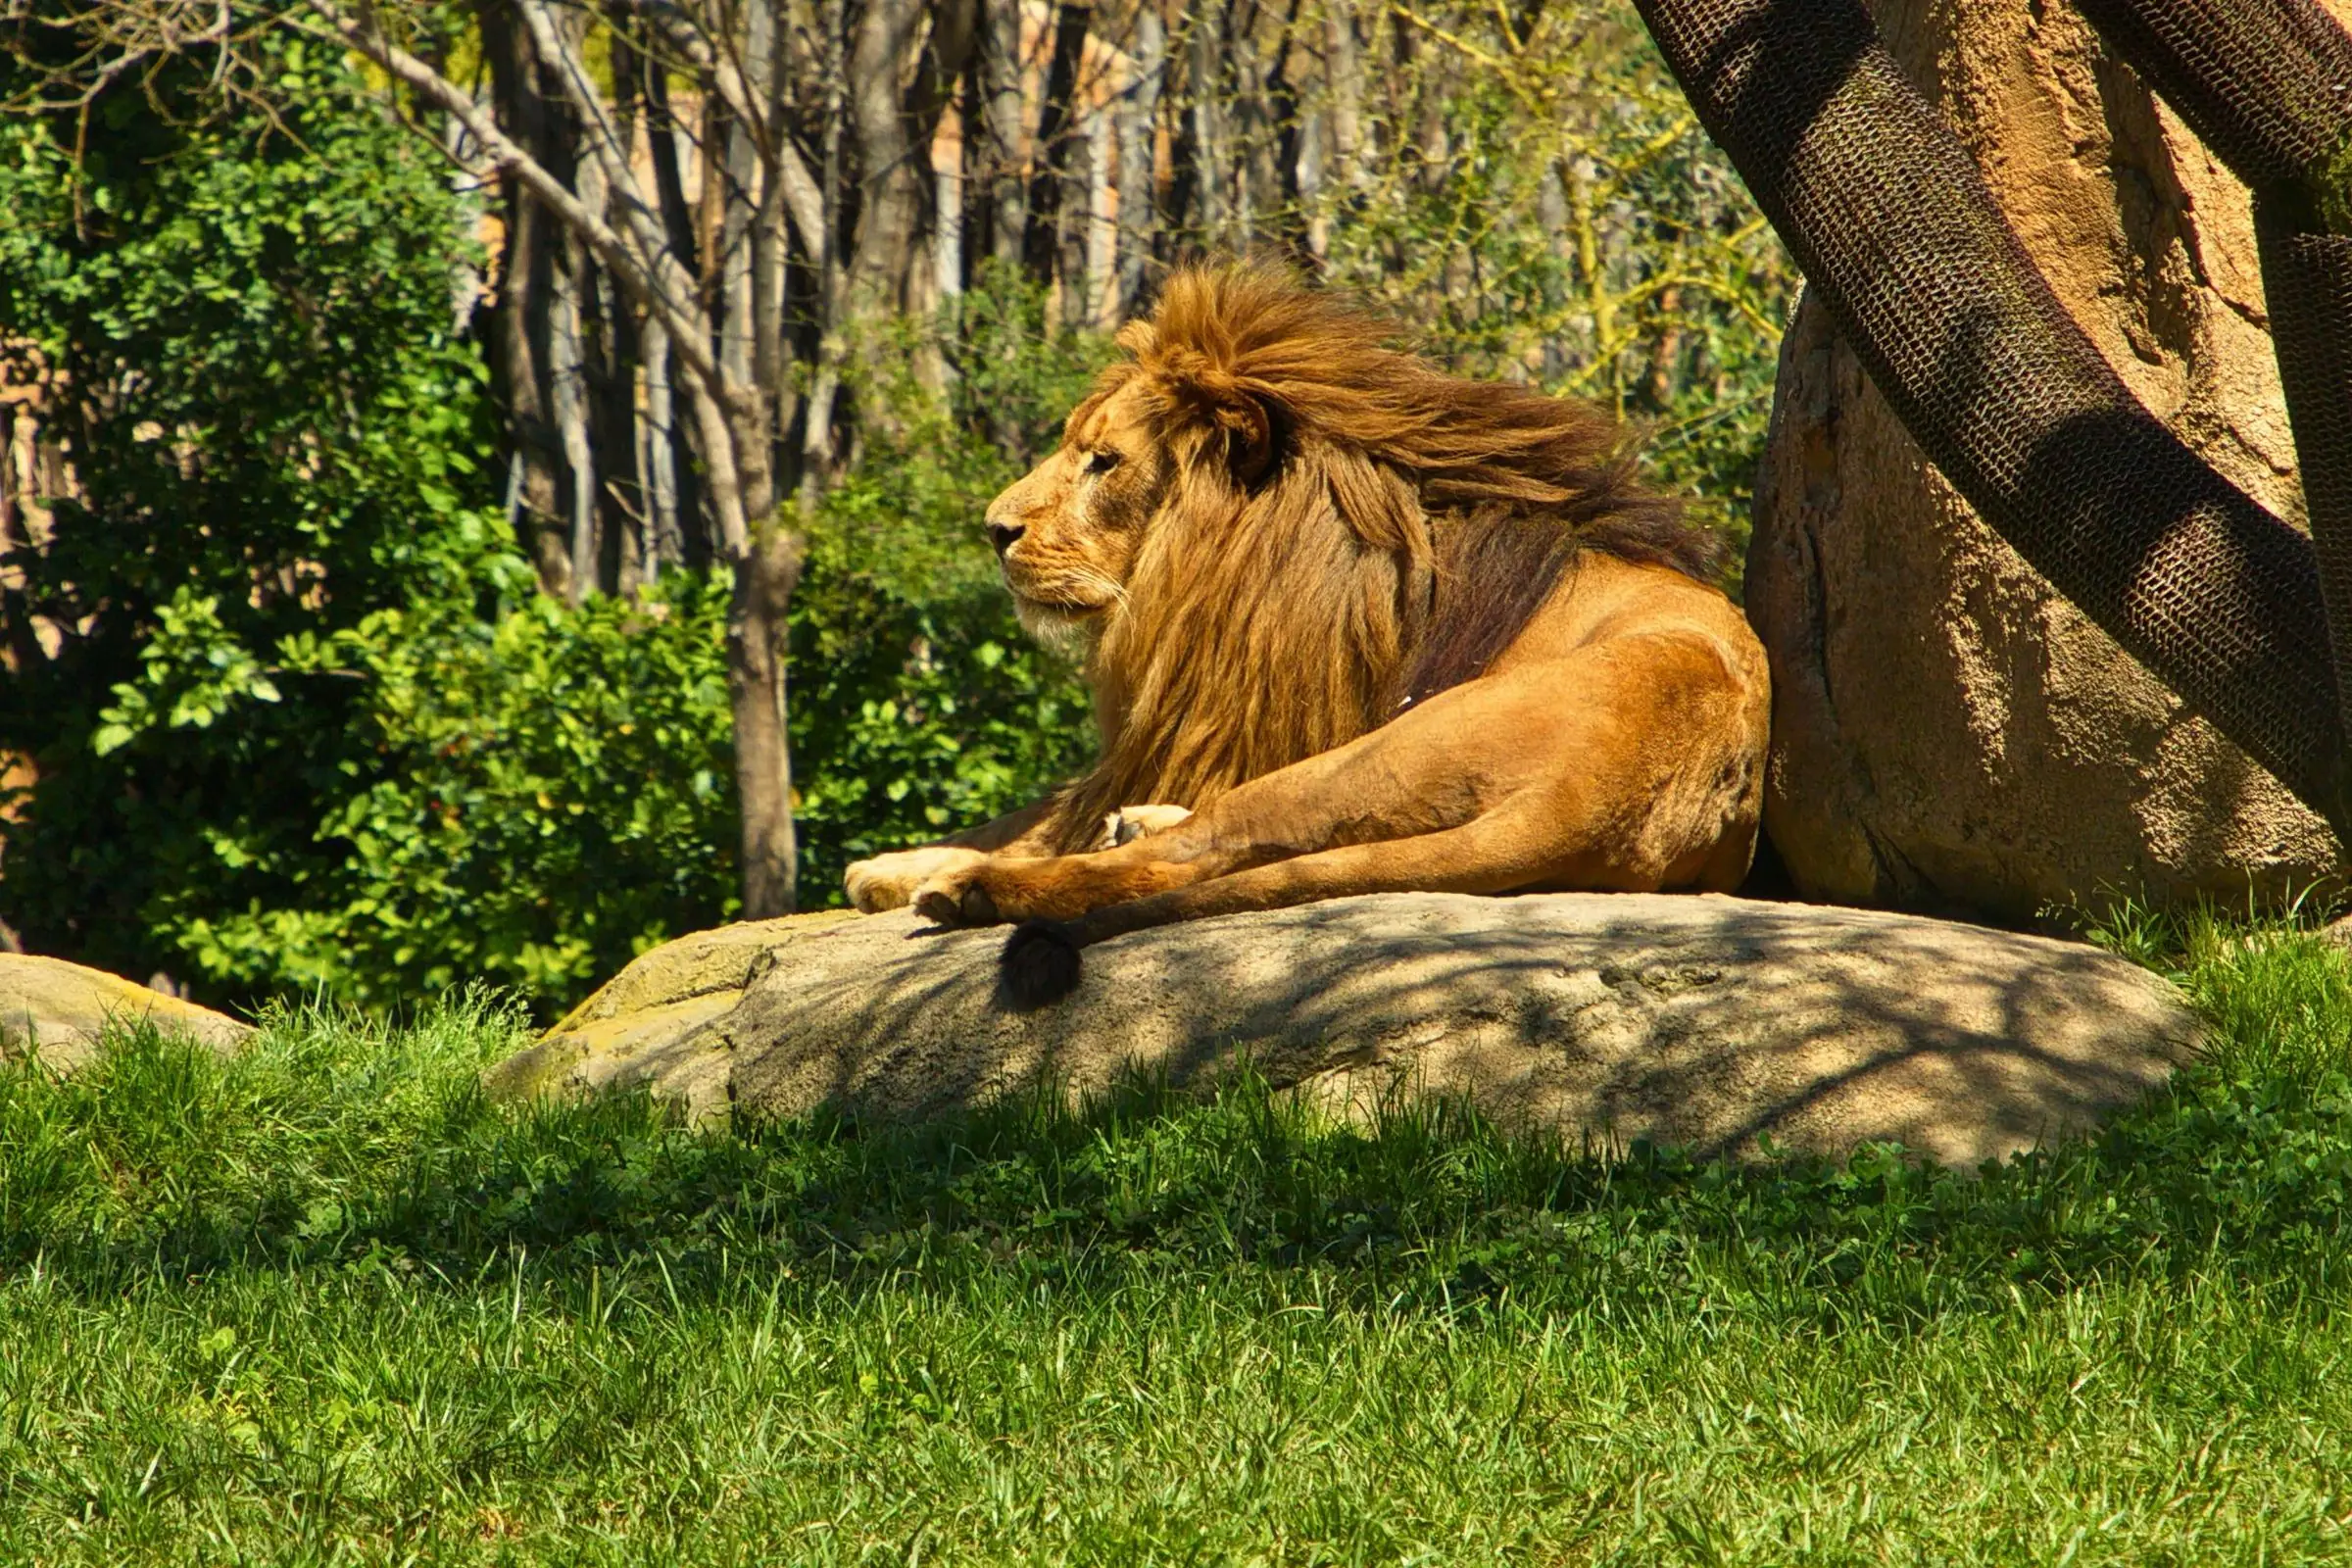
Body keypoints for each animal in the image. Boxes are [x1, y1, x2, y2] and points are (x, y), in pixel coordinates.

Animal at [844, 265, 1770, 1004]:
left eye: (1103, 462)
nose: (994, 530)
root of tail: (1587, 801)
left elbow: (1060, 816)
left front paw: (920, 868)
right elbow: (1038, 809)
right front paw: (891, 863)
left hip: (1380, 751)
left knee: (1196, 849)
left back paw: (972, 889)